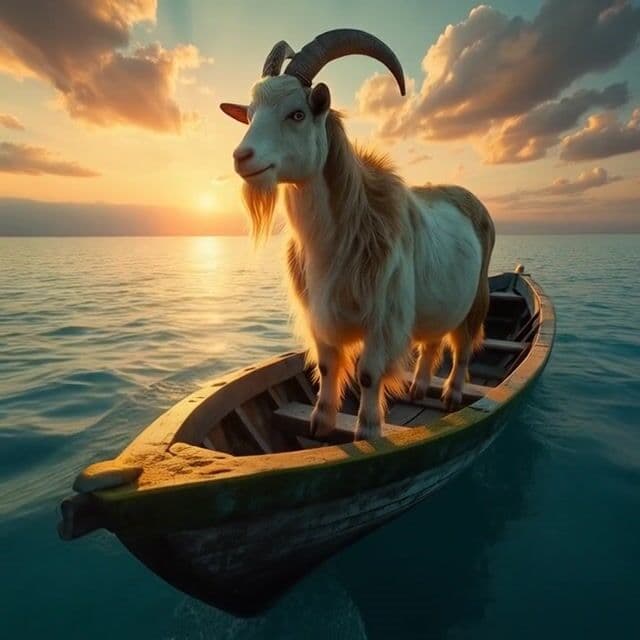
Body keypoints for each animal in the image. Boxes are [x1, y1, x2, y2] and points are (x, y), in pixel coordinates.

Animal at [220, 30, 495, 441]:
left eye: (298, 113)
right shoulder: (319, 314)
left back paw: (451, 394)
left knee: (462, 347)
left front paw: (366, 430)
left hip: (476, 296)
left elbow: (367, 374)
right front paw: (321, 423)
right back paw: (419, 387)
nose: (242, 157)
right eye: (249, 115)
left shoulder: (383, 318)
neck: (341, 234)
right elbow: (327, 365)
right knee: (432, 341)